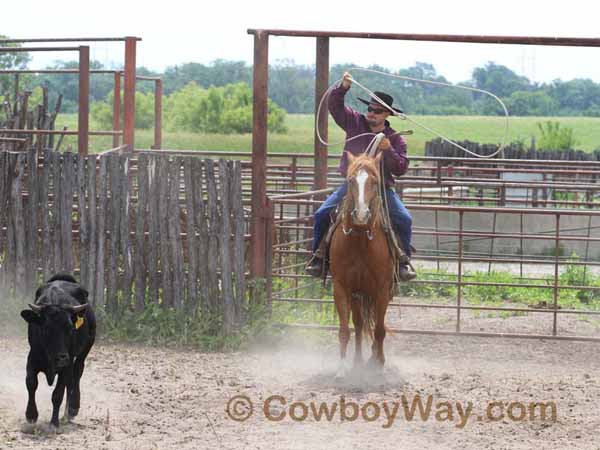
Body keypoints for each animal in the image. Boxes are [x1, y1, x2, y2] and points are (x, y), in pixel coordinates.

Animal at [328, 151, 394, 376]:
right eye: (350, 180)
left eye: (374, 181)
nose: (361, 215)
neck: (359, 240)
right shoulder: (341, 288)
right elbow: (344, 330)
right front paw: (341, 368)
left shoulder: (382, 289)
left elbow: (380, 330)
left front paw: (380, 366)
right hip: (357, 294)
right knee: (357, 324)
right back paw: (357, 361)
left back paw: (374, 358)